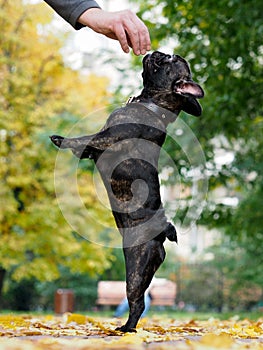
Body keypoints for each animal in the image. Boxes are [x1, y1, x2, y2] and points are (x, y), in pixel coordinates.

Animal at [50, 50, 205, 332]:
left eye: (169, 60)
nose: (158, 52)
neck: (153, 104)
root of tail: (163, 231)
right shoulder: (100, 144)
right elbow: (86, 146)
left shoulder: (110, 136)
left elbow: (86, 138)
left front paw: (62, 140)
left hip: (135, 267)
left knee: (137, 301)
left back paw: (126, 329)